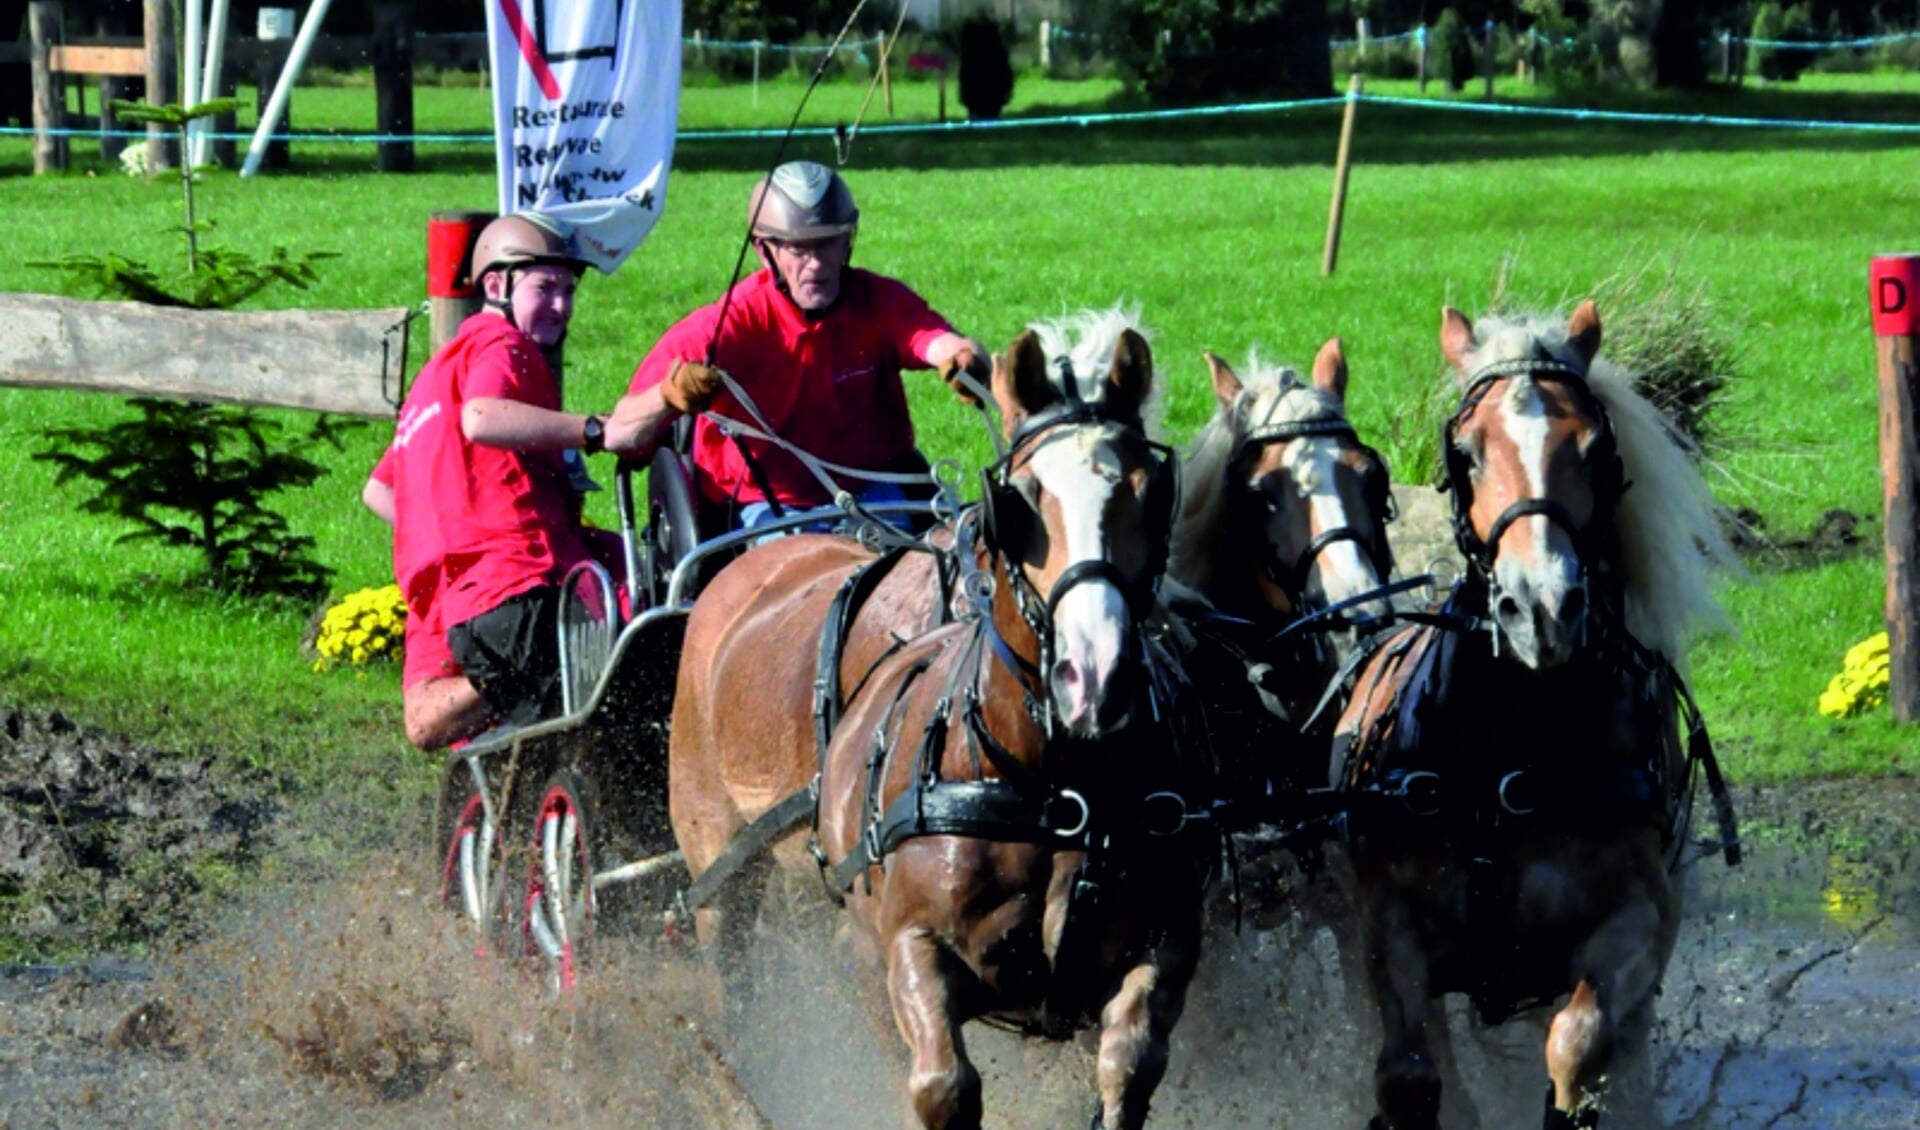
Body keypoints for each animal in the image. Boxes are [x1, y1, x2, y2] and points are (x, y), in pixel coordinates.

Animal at [1336, 299, 1743, 1128]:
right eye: (1465, 451)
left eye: (1592, 447)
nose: (1543, 608)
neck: (1516, 746)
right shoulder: (1389, 921)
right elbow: (1409, 1075)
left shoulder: (1638, 920)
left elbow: (1578, 1046)